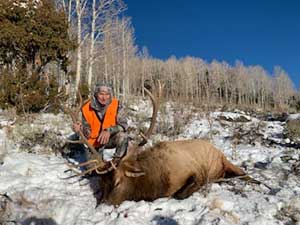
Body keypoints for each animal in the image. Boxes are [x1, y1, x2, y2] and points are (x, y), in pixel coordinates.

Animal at [63, 81, 246, 206]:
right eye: (101, 183)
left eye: (117, 182)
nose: (104, 204)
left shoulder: (196, 170)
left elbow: (181, 193)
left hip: (223, 161)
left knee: (242, 172)